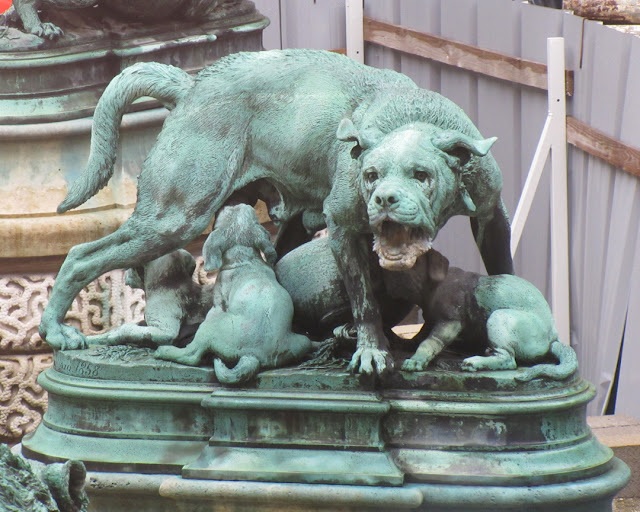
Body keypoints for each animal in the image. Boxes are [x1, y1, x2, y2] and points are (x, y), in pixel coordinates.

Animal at [155, 204, 310, 384]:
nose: (233, 203)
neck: (244, 258)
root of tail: (253, 356)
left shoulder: (217, 302)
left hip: (210, 324)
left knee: (191, 355)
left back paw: (163, 350)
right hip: (301, 342)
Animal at [396, 250, 580, 382]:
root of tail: (553, 337)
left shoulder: (449, 322)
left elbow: (429, 342)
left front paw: (416, 360)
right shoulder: (430, 320)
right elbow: (421, 335)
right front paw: (408, 343)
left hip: (498, 317)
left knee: (508, 359)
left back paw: (475, 362)